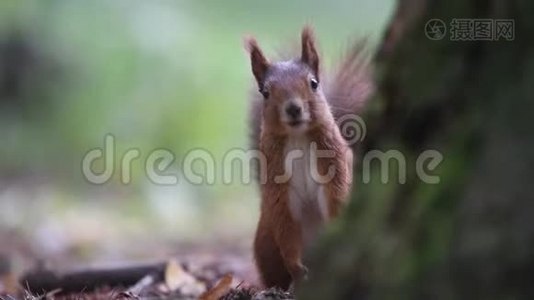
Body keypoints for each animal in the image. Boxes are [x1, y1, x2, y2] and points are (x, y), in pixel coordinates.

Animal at [246, 26, 372, 290]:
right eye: (265, 92)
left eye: (313, 83)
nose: (293, 108)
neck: (297, 138)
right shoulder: (278, 186)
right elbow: (286, 225)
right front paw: (296, 268)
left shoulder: (335, 166)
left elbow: (337, 199)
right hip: (265, 242)